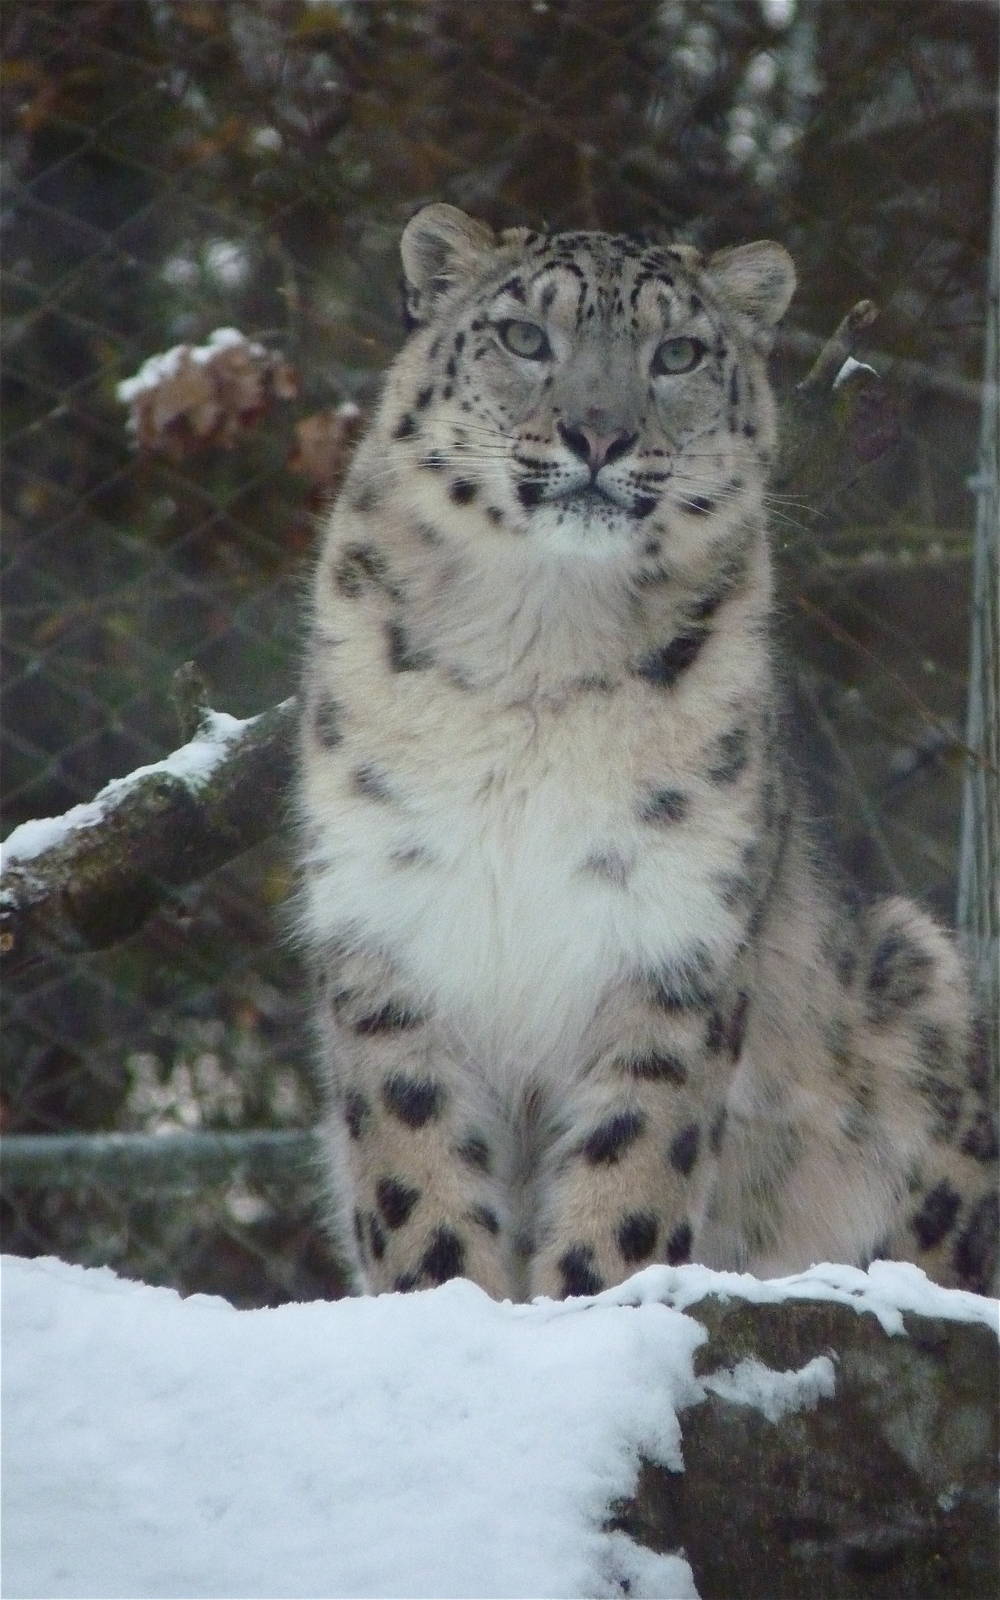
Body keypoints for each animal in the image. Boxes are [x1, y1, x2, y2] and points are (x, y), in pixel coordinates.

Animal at [296, 203, 998, 1303]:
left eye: (678, 354)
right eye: (524, 337)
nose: (599, 433)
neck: (541, 642)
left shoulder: (671, 933)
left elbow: (630, 1163)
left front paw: (592, 1301)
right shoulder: (392, 918)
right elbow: (419, 1167)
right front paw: (447, 1301)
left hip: (917, 980)